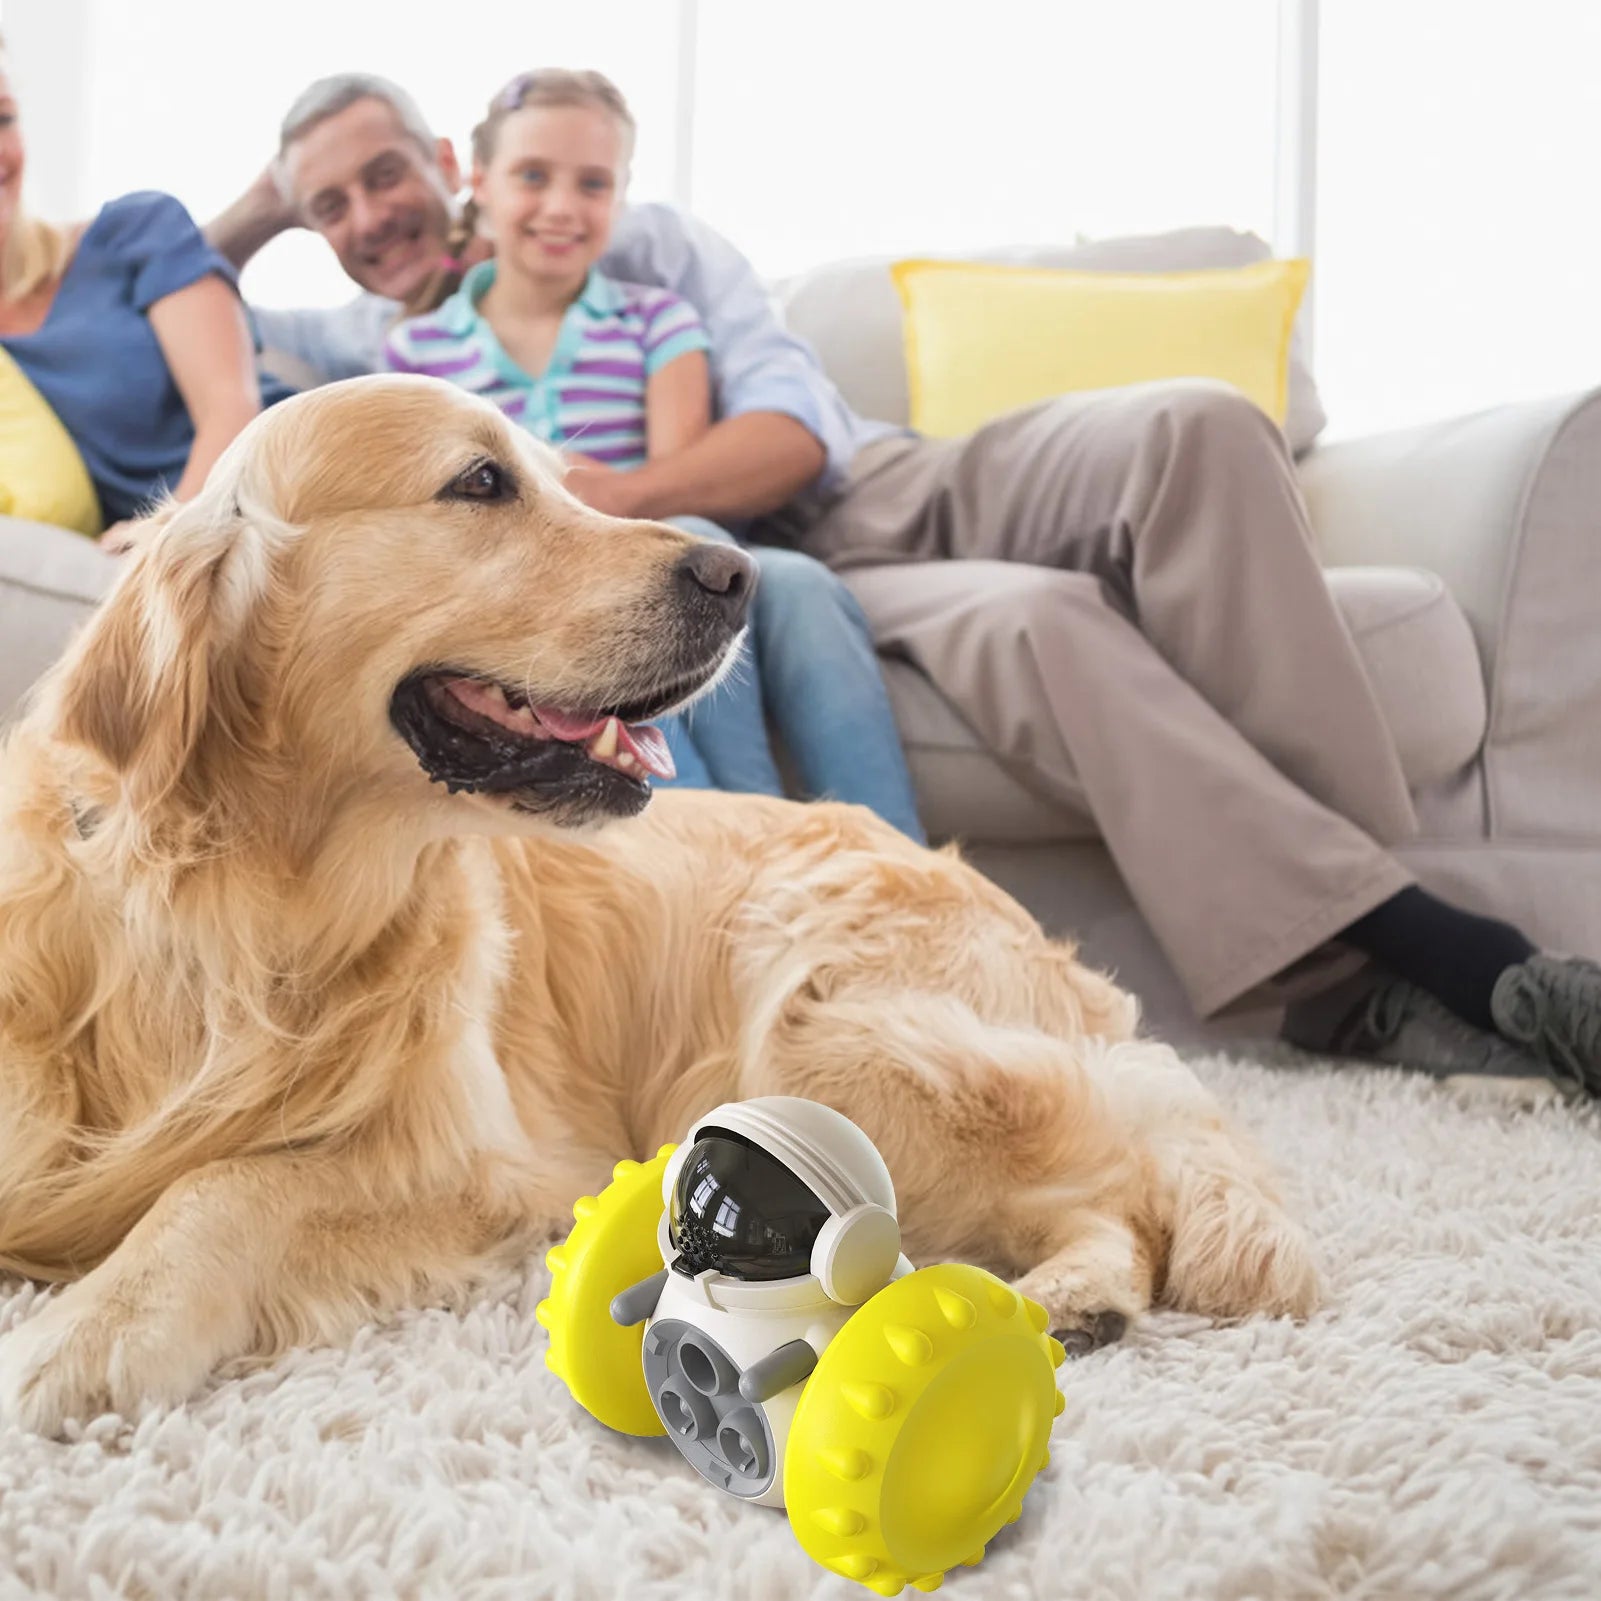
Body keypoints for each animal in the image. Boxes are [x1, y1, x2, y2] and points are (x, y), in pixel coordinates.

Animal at [0, 377, 1312, 1440]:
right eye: (481, 481)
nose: (734, 575)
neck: (254, 905)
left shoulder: (492, 1168)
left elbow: (232, 1180)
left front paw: (93, 1325)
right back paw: (1076, 1299)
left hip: (823, 1034)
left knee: (1126, 1172)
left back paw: (1069, 1294)